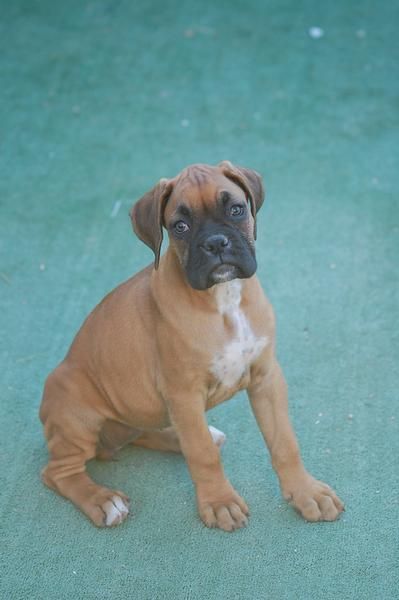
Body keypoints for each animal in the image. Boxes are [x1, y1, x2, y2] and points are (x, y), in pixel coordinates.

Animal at [41, 161, 346, 528]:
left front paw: (306, 492)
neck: (224, 299)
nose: (216, 243)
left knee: (146, 431)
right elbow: (202, 454)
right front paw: (220, 502)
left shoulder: (267, 377)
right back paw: (103, 500)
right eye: (180, 226)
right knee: (58, 472)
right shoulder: (183, 393)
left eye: (236, 209)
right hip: (76, 414)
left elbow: (284, 441)